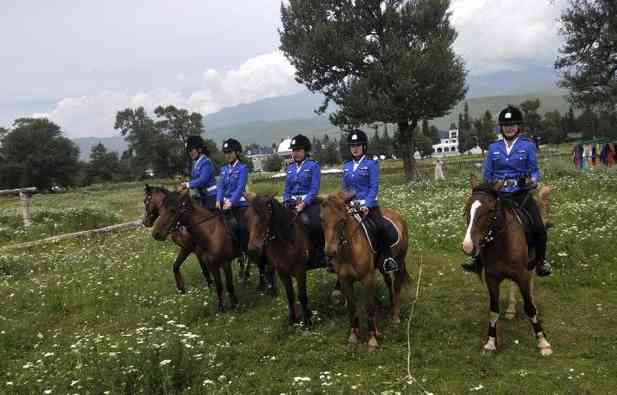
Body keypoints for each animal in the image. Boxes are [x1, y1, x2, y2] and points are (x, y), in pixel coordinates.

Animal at [243, 195, 318, 328]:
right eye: (246, 218)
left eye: (266, 217)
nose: (252, 250)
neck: (288, 242)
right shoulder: (282, 273)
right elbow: (290, 296)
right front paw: (292, 321)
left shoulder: (300, 272)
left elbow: (302, 296)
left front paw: (308, 323)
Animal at [318, 193, 410, 352]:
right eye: (322, 219)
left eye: (342, 220)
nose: (330, 252)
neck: (349, 251)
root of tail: (398, 217)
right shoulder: (345, 281)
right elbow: (352, 308)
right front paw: (353, 337)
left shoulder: (367, 279)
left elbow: (370, 308)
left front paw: (372, 340)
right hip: (382, 266)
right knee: (389, 283)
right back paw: (391, 305)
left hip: (399, 261)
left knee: (397, 287)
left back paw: (395, 317)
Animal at [460, 178, 552, 358]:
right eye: (467, 208)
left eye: (490, 210)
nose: (468, 246)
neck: (501, 244)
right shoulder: (492, 278)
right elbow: (494, 310)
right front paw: (490, 343)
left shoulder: (522, 275)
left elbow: (530, 308)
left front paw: (543, 342)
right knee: (511, 284)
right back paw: (510, 309)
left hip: (531, 265)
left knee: (531, 283)